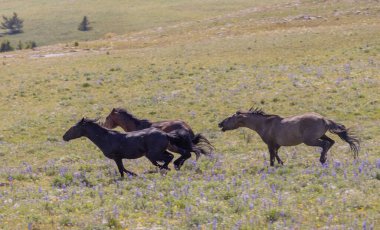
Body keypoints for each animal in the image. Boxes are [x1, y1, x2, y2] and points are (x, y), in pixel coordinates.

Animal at [63, 117, 193, 177]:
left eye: (74, 128)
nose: (64, 137)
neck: (106, 138)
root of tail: (166, 134)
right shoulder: (119, 158)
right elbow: (123, 169)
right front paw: (133, 174)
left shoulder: (117, 157)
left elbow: (122, 170)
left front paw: (133, 175)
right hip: (158, 152)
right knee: (174, 155)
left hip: (153, 154)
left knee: (169, 158)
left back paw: (167, 168)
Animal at [218, 107, 360, 165]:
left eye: (230, 118)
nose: (220, 124)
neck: (264, 123)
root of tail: (324, 119)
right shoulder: (277, 144)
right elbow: (276, 154)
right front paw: (281, 163)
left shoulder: (270, 143)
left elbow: (272, 155)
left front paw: (274, 165)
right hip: (321, 135)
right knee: (331, 142)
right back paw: (324, 159)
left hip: (310, 140)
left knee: (325, 144)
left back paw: (322, 159)